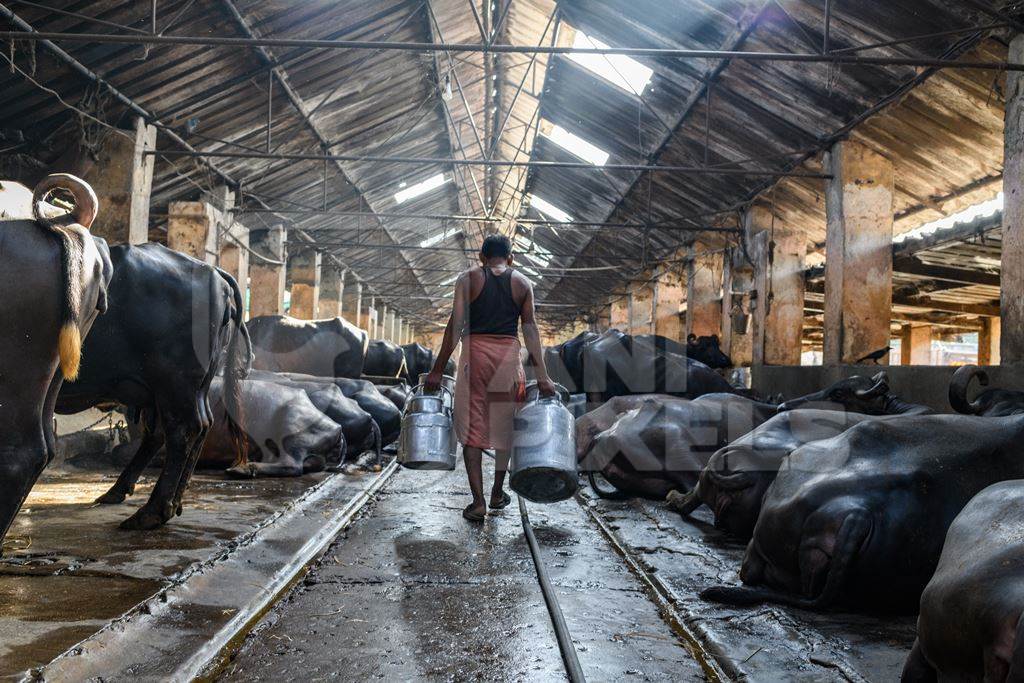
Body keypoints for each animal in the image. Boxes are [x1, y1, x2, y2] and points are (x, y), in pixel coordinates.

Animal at [56, 242, 249, 532]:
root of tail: (213, 272)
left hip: (174, 383)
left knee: (182, 430)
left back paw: (151, 512)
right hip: (181, 389)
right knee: (188, 428)